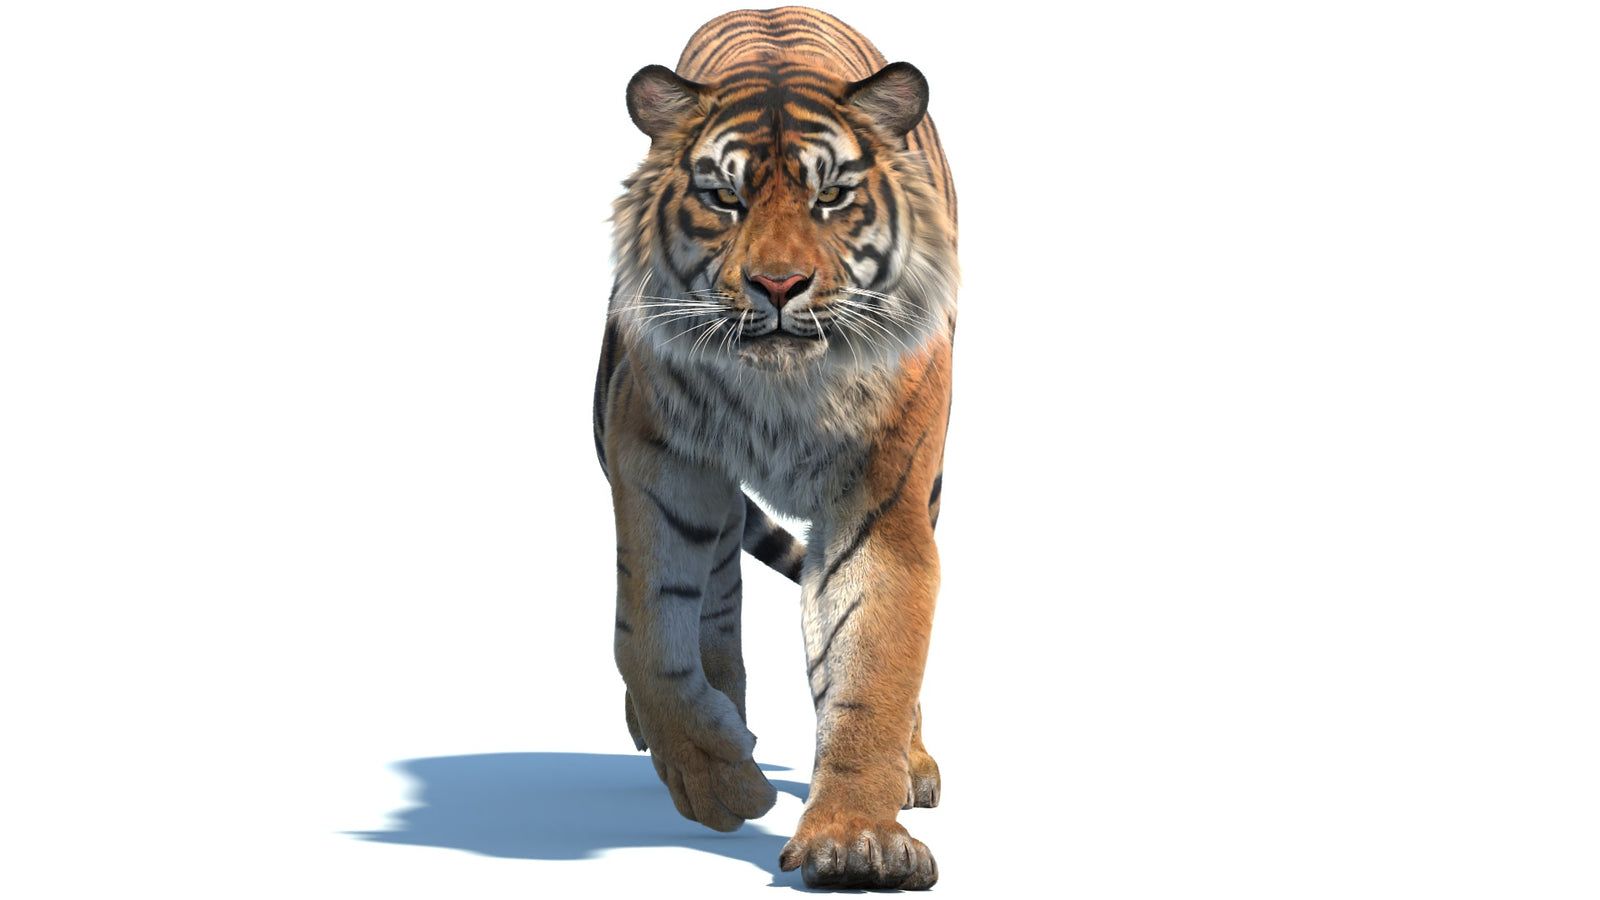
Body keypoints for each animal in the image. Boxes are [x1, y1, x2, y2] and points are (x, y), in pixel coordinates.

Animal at [592, 6, 958, 890]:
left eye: (832, 197)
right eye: (724, 198)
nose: (780, 285)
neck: (780, 394)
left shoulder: (882, 502)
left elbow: (873, 662)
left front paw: (856, 840)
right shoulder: (656, 465)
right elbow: (649, 639)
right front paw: (716, 779)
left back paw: (912, 764)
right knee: (714, 616)